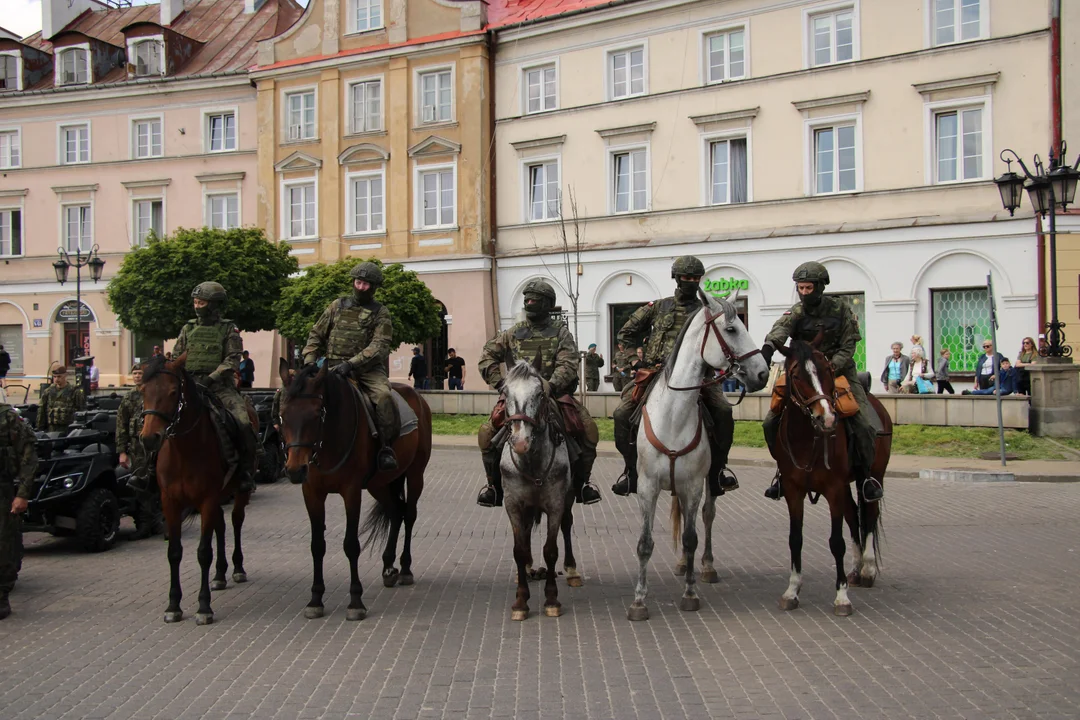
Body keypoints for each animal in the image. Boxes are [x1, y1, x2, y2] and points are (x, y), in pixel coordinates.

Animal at [139, 354, 252, 626]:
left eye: (172, 392)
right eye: (143, 391)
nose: (149, 438)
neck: (184, 450)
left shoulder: (207, 500)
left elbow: (203, 552)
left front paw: (204, 606)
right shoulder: (170, 502)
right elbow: (174, 552)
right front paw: (173, 605)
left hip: (237, 492)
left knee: (235, 521)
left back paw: (237, 568)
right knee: (220, 526)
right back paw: (220, 575)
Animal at [276, 358, 432, 621]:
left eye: (316, 414)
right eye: (283, 415)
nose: (295, 470)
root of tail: (417, 397)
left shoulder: (351, 491)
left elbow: (351, 545)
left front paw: (356, 601)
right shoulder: (312, 493)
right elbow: (317, 545)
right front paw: (315, 598)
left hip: (414, 474)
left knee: (409, 515)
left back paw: (404, 568)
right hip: (379, 483)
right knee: (395, 511)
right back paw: (388, 566)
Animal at [498, 354, 583, 621]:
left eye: (539, 393)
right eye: (504, 392)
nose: (520, 441)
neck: (532, 461)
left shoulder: (555, 504)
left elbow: (551, 550)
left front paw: (552, 599)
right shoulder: (513, 505)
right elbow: (519, 549)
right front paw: (520, 601)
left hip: (569, 498)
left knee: (567, 524)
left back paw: (572, 570)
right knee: (525, 537)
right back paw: (525, 569)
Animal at [630, 289, 773, 621]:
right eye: (731, 329)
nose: (762, 373)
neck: (673, 415)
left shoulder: (694, 485)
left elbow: (691, 538)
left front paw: (690, 593)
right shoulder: (647, 486)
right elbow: (645, 543)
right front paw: (639, 600)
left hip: (707, 481)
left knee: (707, 517)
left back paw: (705, 567)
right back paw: (683, 565)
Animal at [773, 336, 889, 613]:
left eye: (828, 370)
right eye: (796, 375)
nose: (826, 418)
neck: (808, 439)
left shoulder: (834, 488)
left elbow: (837, 542)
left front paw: (842, 596)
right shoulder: (793, 491)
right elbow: (795, 538)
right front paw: (792, 591)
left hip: (873, 477)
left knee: (869, 514)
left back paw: (868, 569)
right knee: (853, 515)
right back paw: (856, 570)